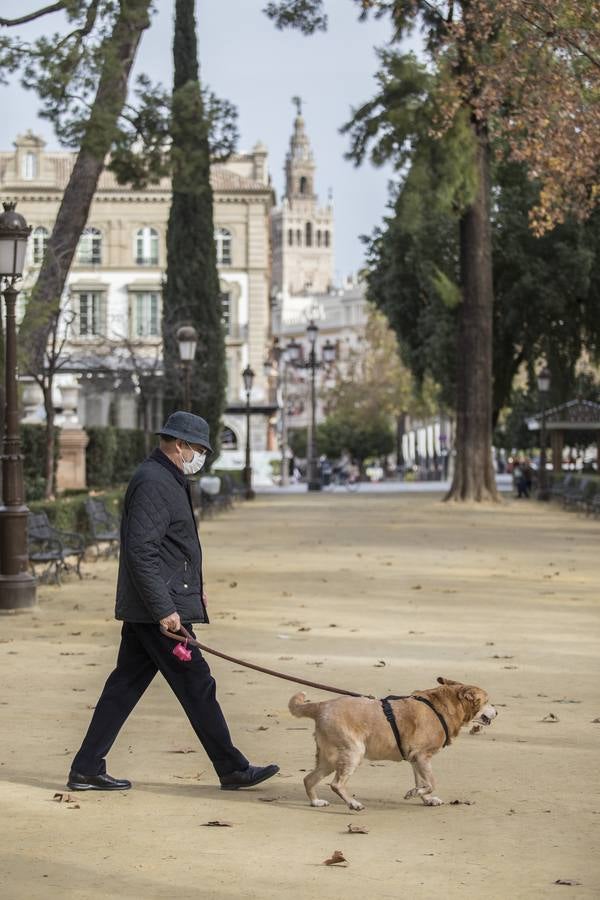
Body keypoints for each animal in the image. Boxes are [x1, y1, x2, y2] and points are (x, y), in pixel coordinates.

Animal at [290, 680, 496, 812]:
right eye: (487, 701)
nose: (498, 711)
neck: (441, 707)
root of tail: (321, 706)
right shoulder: (422, 757)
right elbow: (431, 783)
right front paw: (415, 793)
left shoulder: (415, 760)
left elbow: (422, 781)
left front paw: (424, 798)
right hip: (353, 752)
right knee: (336, 784)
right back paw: (353, 804)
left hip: (329, 760)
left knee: (308, 779)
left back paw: (316, 802)